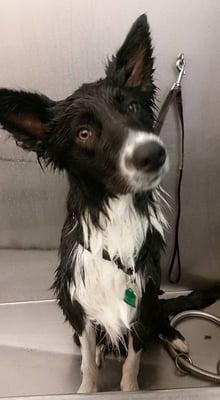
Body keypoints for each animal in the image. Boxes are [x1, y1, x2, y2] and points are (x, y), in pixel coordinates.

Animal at [0, 13, 220, 394]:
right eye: (84, 133)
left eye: (132, 107)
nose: (153, 154)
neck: (116, 214)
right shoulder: (81, 308)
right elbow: (88, 360)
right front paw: (87, 387)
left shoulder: (141, 306)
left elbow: (132, 362)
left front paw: (130, 388)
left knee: (162, 315)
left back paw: (174, 337)